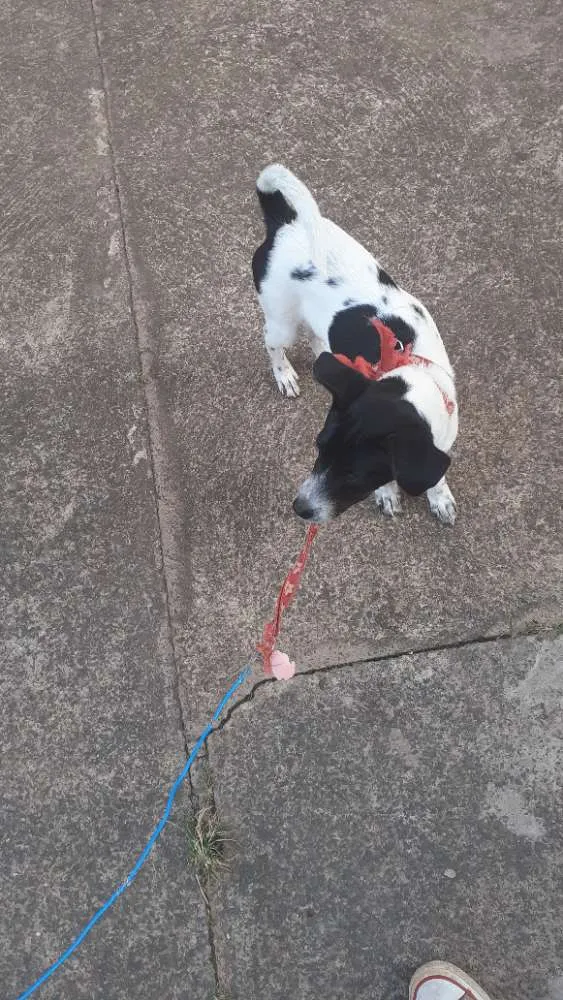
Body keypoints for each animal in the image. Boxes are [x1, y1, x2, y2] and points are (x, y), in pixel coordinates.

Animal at [251, 163, 458, 524]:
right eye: (319, 446)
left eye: (355, 475)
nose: (299, 509)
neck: (413, 373)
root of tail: (286, 223)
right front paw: (388, 494)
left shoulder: (441, 436)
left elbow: (436, 473)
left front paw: (440, 496)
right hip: (281, 323)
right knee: (272, 343)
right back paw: (284, 374)